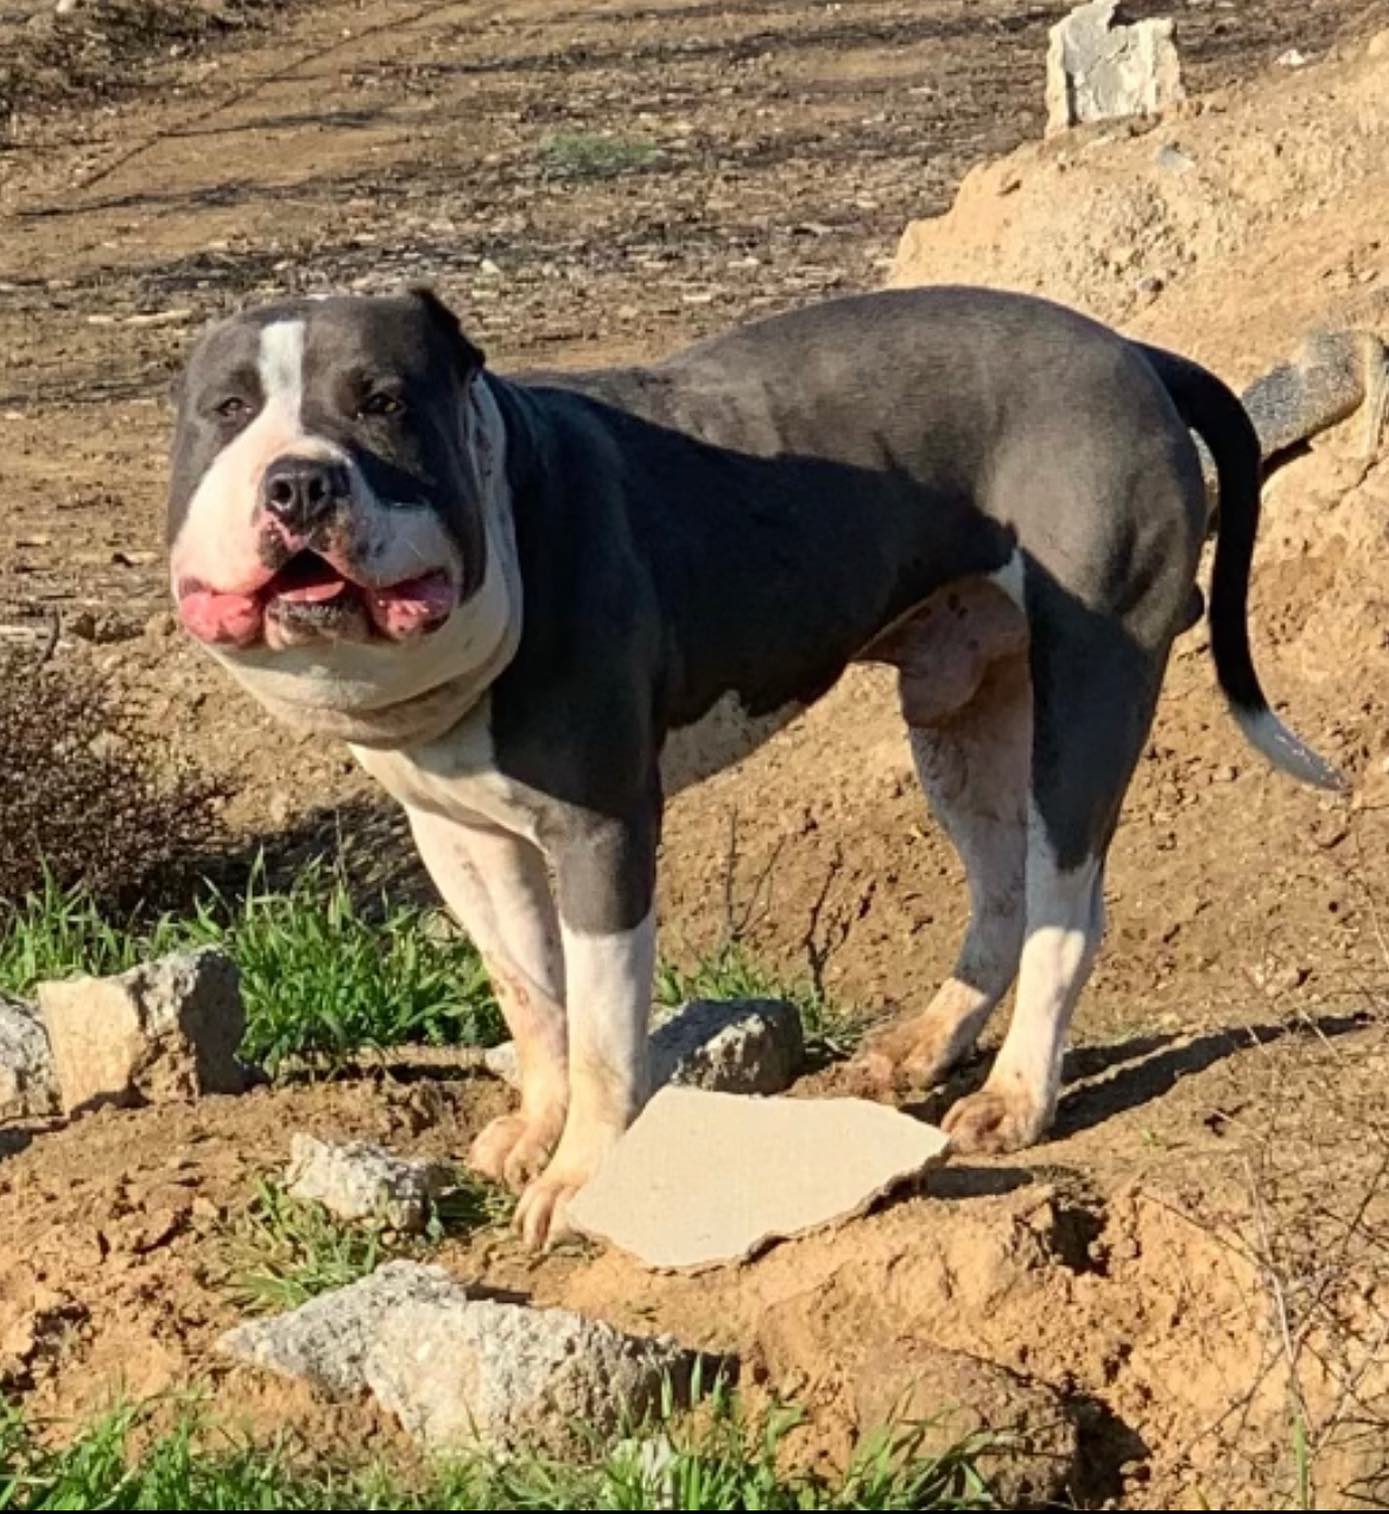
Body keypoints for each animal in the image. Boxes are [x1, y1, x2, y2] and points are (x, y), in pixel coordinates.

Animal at [165, 281, 1345, 1241]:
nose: (299, 484)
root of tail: (1129, 348)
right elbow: (532, 998)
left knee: (1064, 908)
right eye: (228, 410)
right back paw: (926, 1044)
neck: (506, 506)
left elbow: (603, 1029)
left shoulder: (603, 831)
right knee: (1003, 891)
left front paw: (581, 1175)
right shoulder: (460, 837)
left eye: (382, 402)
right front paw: (535, 1128)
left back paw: (1017, 1094)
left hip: (1093, 681)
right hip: (961, 710)